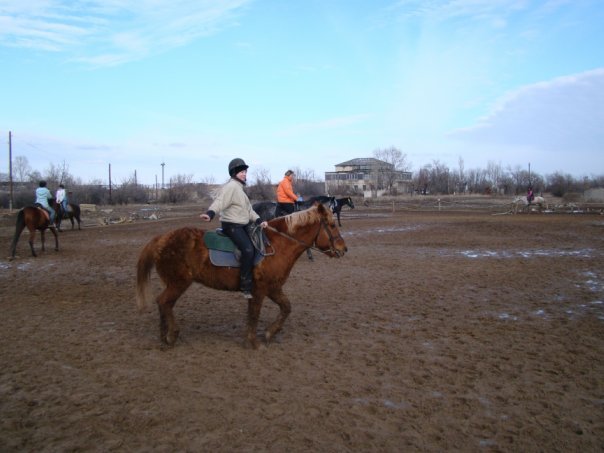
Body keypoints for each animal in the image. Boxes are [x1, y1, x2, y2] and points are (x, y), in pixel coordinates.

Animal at [135, 203, 346, 348]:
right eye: (332, 225)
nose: (344, 249)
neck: (276, 244)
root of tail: (161, 239)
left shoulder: (273, 287)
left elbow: (286, 308)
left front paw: (269, 334)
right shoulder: (260, 289)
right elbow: (254, 314)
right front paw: (253, 342)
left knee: (163, 303)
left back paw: (164, 335)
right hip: (178, 283)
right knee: (164, 302)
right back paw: (171, 335)